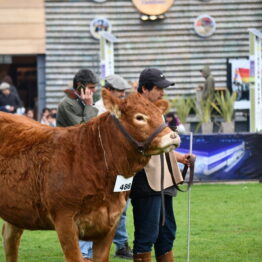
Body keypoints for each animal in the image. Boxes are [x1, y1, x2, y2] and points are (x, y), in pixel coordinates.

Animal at [0, 89, 180, 260]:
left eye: (160, 115)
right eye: (139, 117)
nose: (173, 136)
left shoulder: (110, 222)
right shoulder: (64, 220)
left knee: (10, 238)